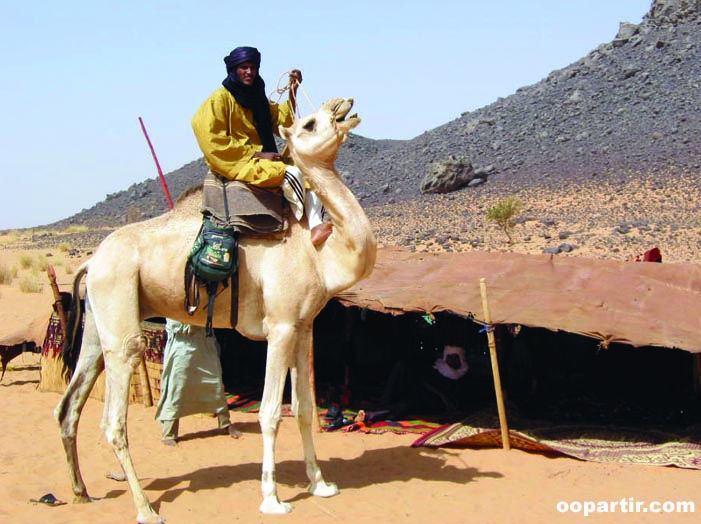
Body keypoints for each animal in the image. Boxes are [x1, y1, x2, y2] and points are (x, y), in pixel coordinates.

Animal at [53, 99, 378, 524]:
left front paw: (321, 485)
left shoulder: (304, 325)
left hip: (96, 321)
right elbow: (270, 412)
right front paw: (272, 499)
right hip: (120, 310)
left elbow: (305, 408)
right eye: (309, 123)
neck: (319, 254)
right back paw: (146, 509)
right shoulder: (280, 326)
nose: (345, 105)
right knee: (113, 418)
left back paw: (80, 491)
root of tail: (91, 262)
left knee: (69, 404)